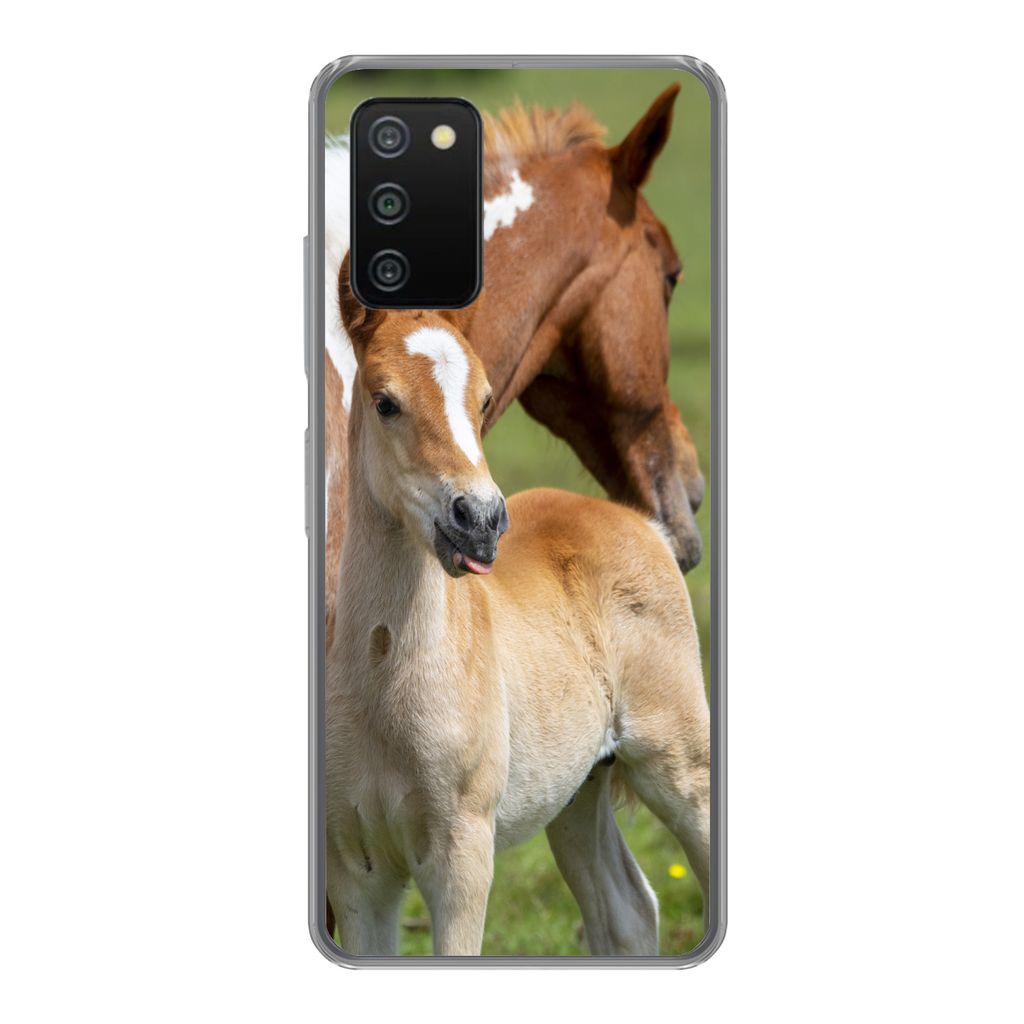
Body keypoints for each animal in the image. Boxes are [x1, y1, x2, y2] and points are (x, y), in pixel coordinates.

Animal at [325, 257, 710, 956]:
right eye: (385, 401)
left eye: (483, 400)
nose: (478, 520)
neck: (385, 675)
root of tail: (641, 522)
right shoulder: (356, 870)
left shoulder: (462, 854)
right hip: (578, 789)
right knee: (628, 910)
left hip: (682, 766)